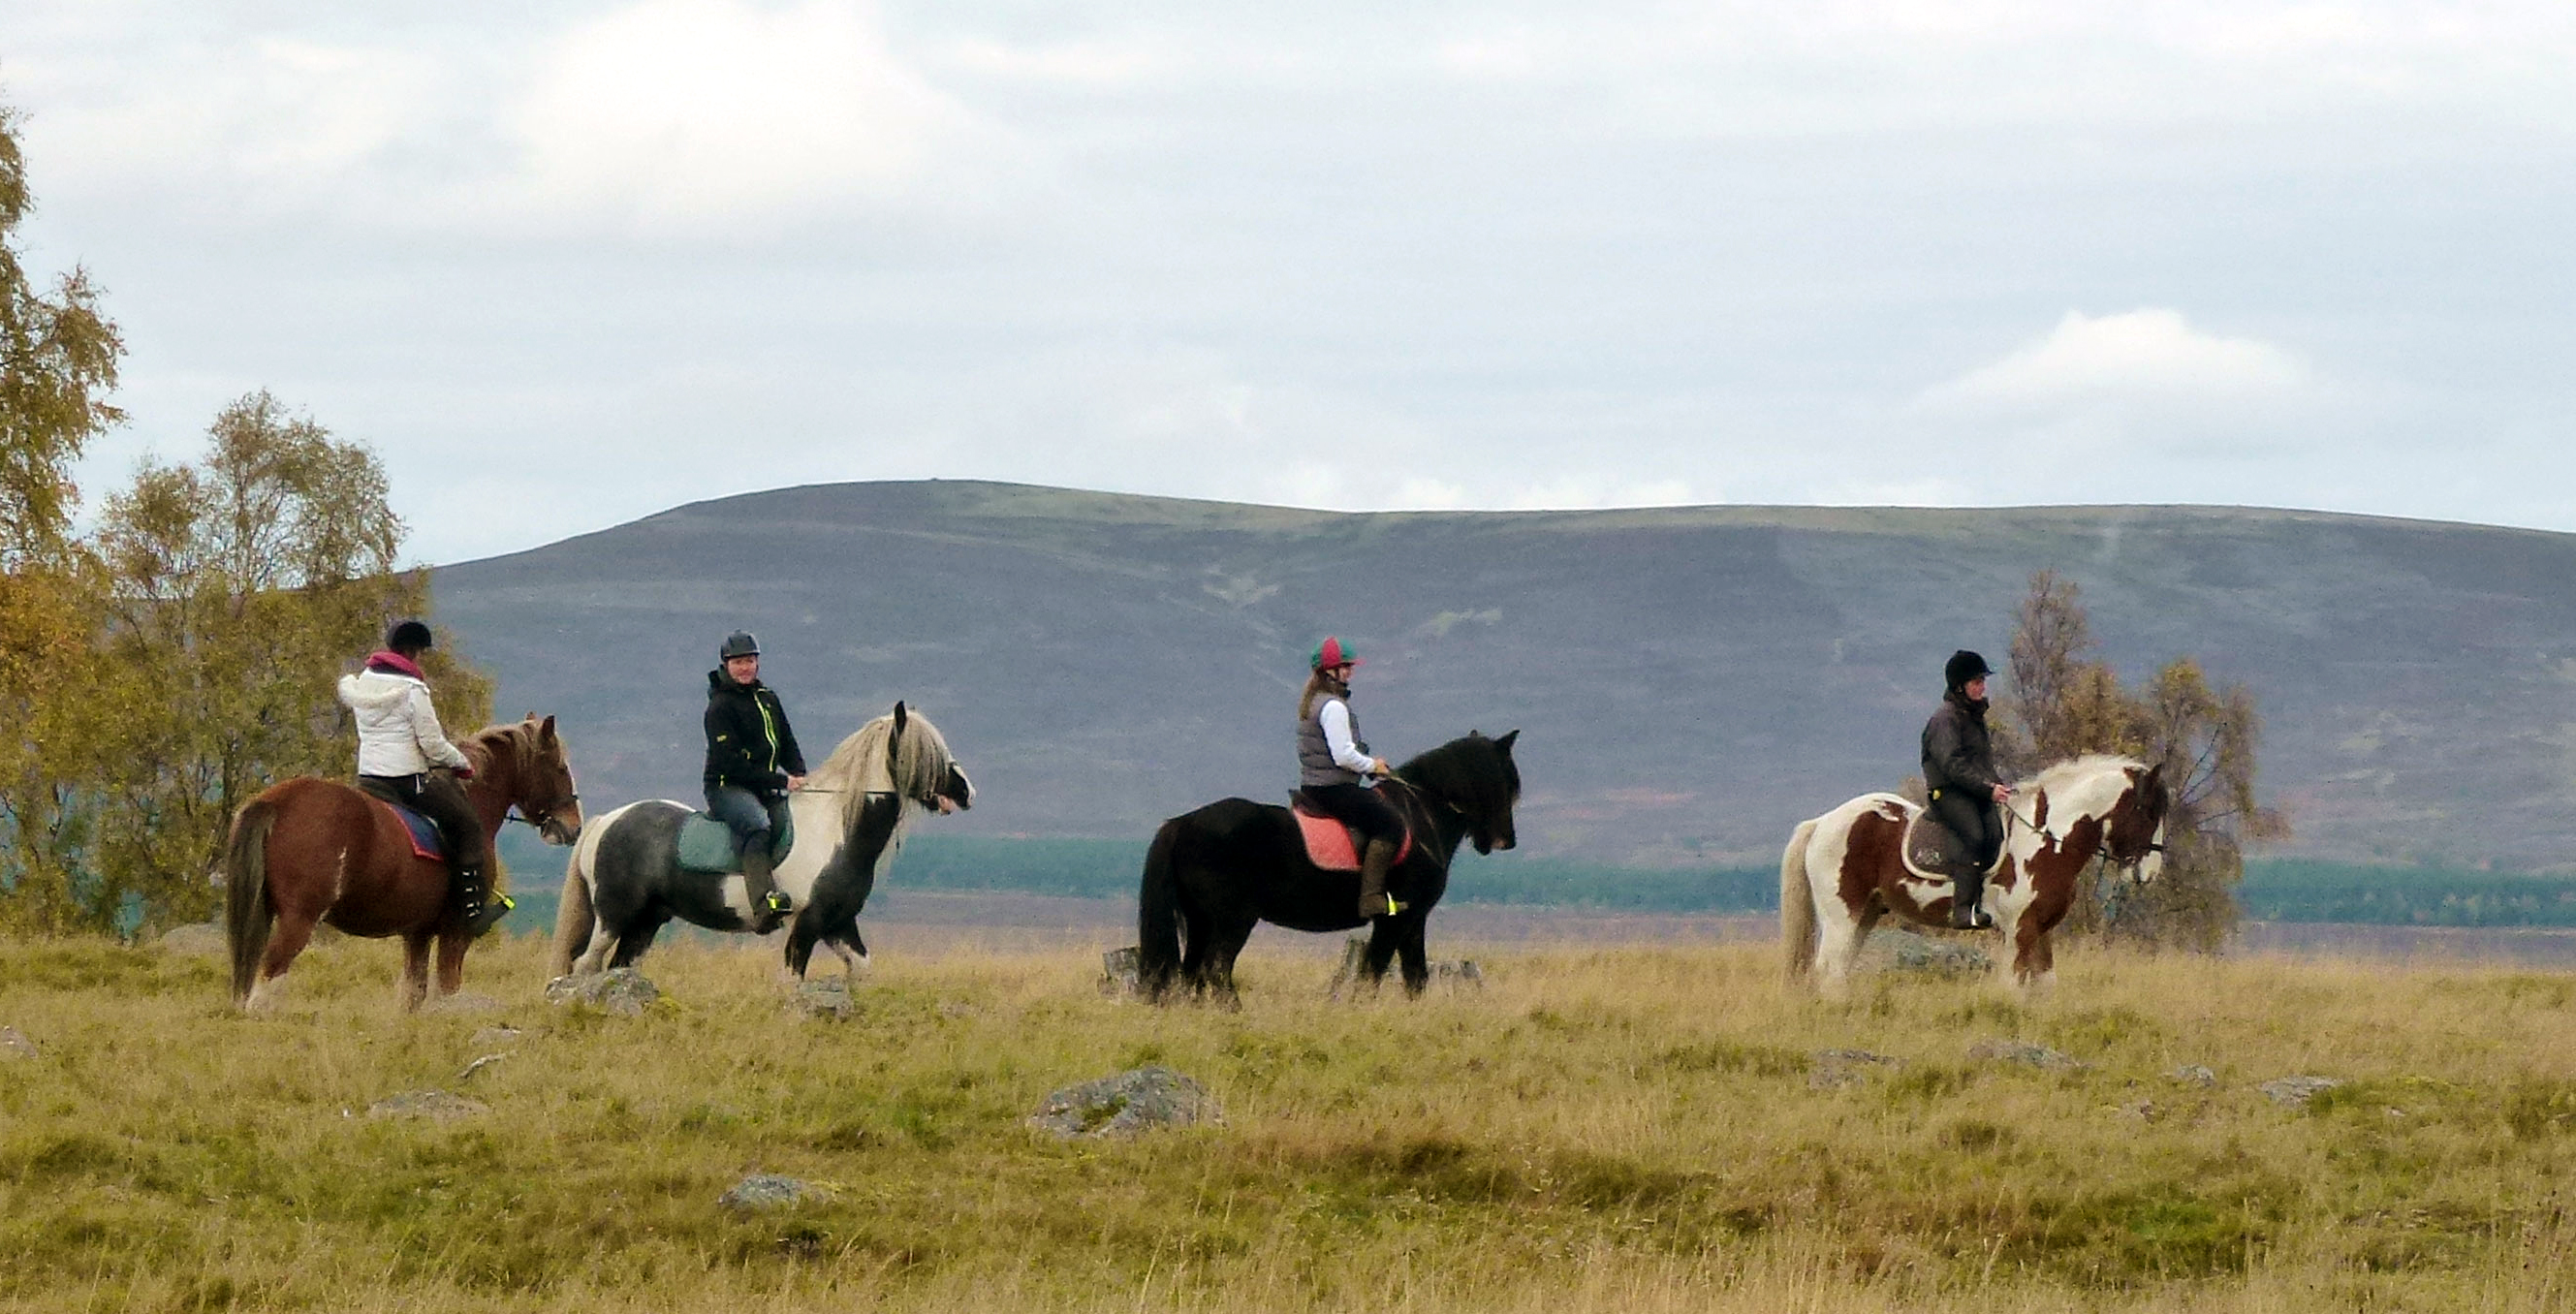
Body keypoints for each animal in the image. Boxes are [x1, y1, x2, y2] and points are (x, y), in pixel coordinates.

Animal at [223, 715, 584, 1013]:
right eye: (559, 766)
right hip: (300, 918)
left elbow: (413, 995)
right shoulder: (456, 933)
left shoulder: (418, 933)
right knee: (268, 978)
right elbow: (446, 989)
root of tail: (277, 800)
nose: (574, 827)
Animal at [549, 702, 973, 982]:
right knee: (586, 965)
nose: (967, 791)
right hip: (614, 915)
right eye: (926, 751)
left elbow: (862, 971)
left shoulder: (838, 923)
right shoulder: (808, 923)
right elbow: (794, 980)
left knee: (618, 968)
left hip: (647, 920)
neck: (835, 830)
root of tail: (606, 821)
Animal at [1138, 729, 1521, 1004]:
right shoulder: (1394, 920)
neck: (1421, 814)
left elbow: (1416, 978)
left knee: (1192, 973)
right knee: (1215, 971)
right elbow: (1373, 972)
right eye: (1507, 782)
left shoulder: (1414, 920)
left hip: (1200, 919)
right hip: (1232, 919)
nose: (1506, 841)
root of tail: (1182, 823)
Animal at [1780, 755, 2170, 997]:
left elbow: (2045, 986)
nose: (2149, 874)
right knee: (1830, 969)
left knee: (1840, 969)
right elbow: (2014, 986)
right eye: (2149, 812)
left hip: (1866, 914)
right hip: (1840, 914)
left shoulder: (2041, 928)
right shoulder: (2019, 930)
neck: (2045, 838)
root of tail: (1823, 822)